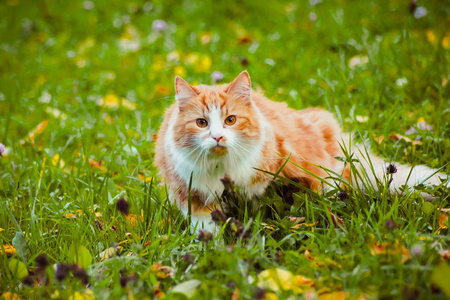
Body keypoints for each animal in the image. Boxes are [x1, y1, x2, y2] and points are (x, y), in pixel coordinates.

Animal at [154, 71, 446, 234]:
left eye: (230, 120)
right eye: (202, 123)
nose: (217, 137)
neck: (221, 169)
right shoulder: (192, 196)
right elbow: (206, 228)